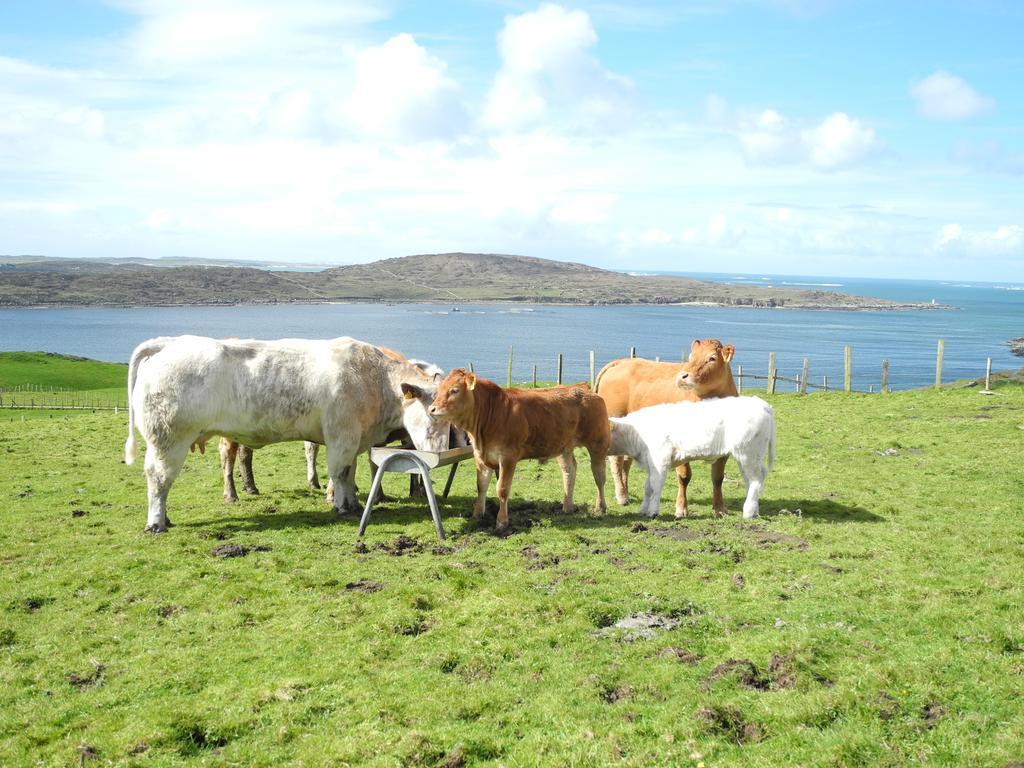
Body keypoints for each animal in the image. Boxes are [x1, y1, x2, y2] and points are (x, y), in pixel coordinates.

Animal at [122, 335, 448, 536]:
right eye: (433, 412)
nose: (441, 451)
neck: (375, 378)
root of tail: (170, 344)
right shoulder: (341, 437)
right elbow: (341, 473)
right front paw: (343, 507)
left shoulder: (353, 438)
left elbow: (351, 472)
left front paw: (353, 503)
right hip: (169, 440)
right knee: (158, 478)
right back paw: (157, 522)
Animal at [430, 372, 606, 536]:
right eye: (438, 390)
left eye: (455, 390)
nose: (432, 409)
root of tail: (582, 387)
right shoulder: (480, 457)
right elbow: (481, 486)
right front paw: (477, 515)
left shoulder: (508, 457)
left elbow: (502, 489)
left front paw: (501, 523)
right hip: (564, 447)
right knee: (569, 471)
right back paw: (567, 507)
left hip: (598, 443)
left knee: (599, 476)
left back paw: (600, 509)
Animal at [593, 339, 737, 520]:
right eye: (691, 356)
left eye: (712, 358)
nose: (682, 376)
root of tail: (622, 362)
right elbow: (684, 476)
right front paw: (681, 508)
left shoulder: (725, 447)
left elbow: (717, 478)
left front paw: (720, 509)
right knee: (616, 461)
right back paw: (621, 496)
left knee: (626, 460)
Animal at [606, 397, 774, 524]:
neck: (635, 433)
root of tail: (761, 403)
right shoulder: (650, 463)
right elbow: (647, 487)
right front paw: (643, 509)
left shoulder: (660, 460)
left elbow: (655, 486)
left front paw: (652, 512)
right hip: (748, 456)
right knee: (752, 480)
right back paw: (754, 510)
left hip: (748, 453)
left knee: (756, 480)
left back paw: (748, 511)